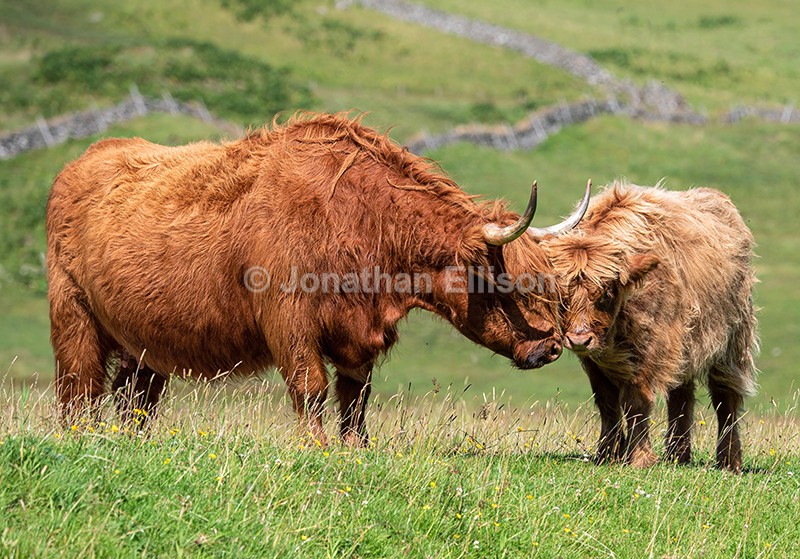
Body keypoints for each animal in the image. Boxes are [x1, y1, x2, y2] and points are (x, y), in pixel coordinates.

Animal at [46, 112, 590, 445]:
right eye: (509, 284)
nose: (550, 348)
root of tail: (85, 159)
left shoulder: (359, 335)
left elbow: (356, 395)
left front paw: (357, 447)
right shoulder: (289, 320)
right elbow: (310, 387)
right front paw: (318, 446)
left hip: (144, 338)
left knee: (134, 396)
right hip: (73, 315)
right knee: (79, 387)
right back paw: (79, 439)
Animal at [540, 181, 758, 472]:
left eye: (606, 292)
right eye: (562, 296)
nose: (579, 340)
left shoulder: (653, 349)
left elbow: (636, 402)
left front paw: (640, 458)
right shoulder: (594, 362)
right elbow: (607, 403)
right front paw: (607, 454)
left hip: (731, 341)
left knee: (726, 399)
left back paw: (728, 461)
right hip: (685, 345)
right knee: (681, 395)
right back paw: (677, 455)